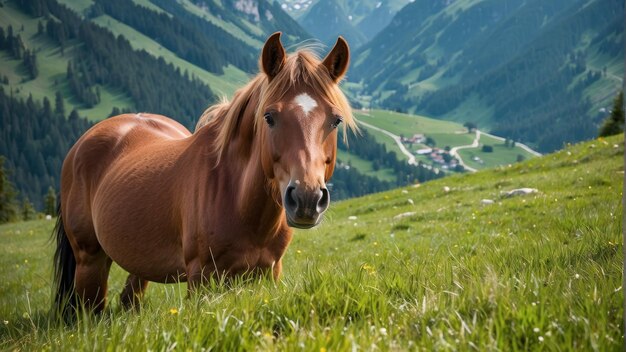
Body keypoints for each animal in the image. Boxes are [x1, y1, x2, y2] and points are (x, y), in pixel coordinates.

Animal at [52, 31, 356, 314]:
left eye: (335, 120)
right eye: (269, 117)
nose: (307, 198)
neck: (236, 200)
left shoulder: (269, 273)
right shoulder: (202, 278)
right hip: (89, 260)